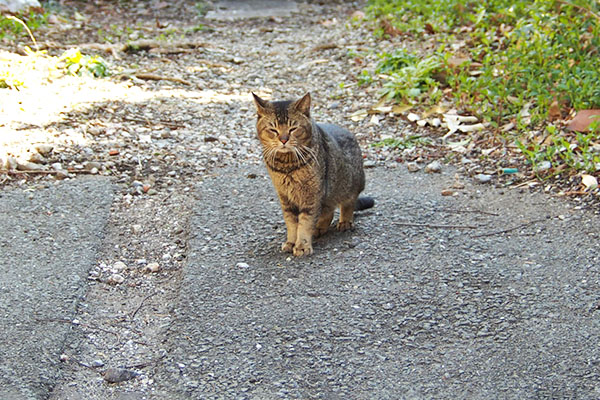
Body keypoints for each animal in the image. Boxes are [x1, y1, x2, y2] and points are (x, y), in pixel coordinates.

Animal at [251, 92, 372, 256]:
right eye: (273, 129)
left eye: (293, 128)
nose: (283, 140)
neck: (287, 165)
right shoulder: (285, 197)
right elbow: (291, 223)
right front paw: (291, 242)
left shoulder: (312, 195)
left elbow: (305, 223)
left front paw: (302, 245)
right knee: (328, 211)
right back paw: (319, 228)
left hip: (349, 184)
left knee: (347, 204)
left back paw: (345, 222)